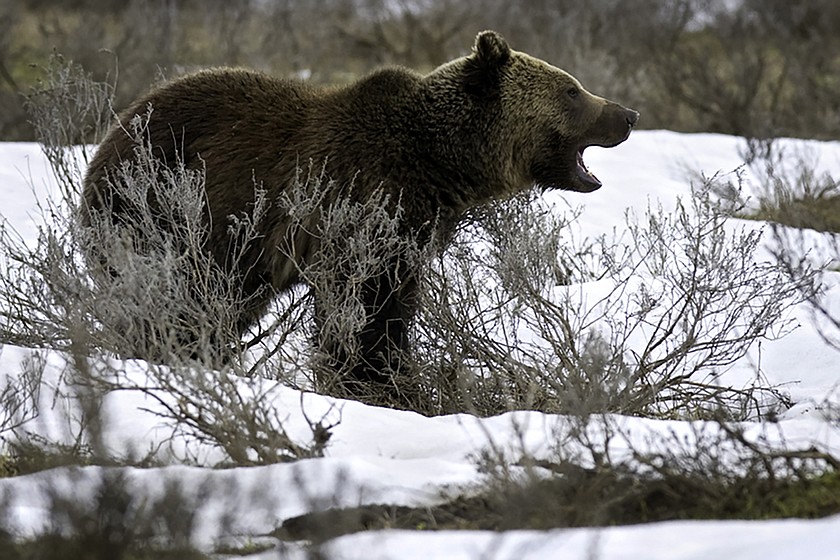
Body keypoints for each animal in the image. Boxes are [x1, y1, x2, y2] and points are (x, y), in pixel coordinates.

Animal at [81, 30, 638, 402]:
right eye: (572, 89)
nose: (627, 114)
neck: (439, 162)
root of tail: (115, 127)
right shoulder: (362, 204)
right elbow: (365, 307)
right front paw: (381, 383)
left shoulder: (414, 226)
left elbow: (391, 301)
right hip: (160, 209)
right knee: (170, 296)